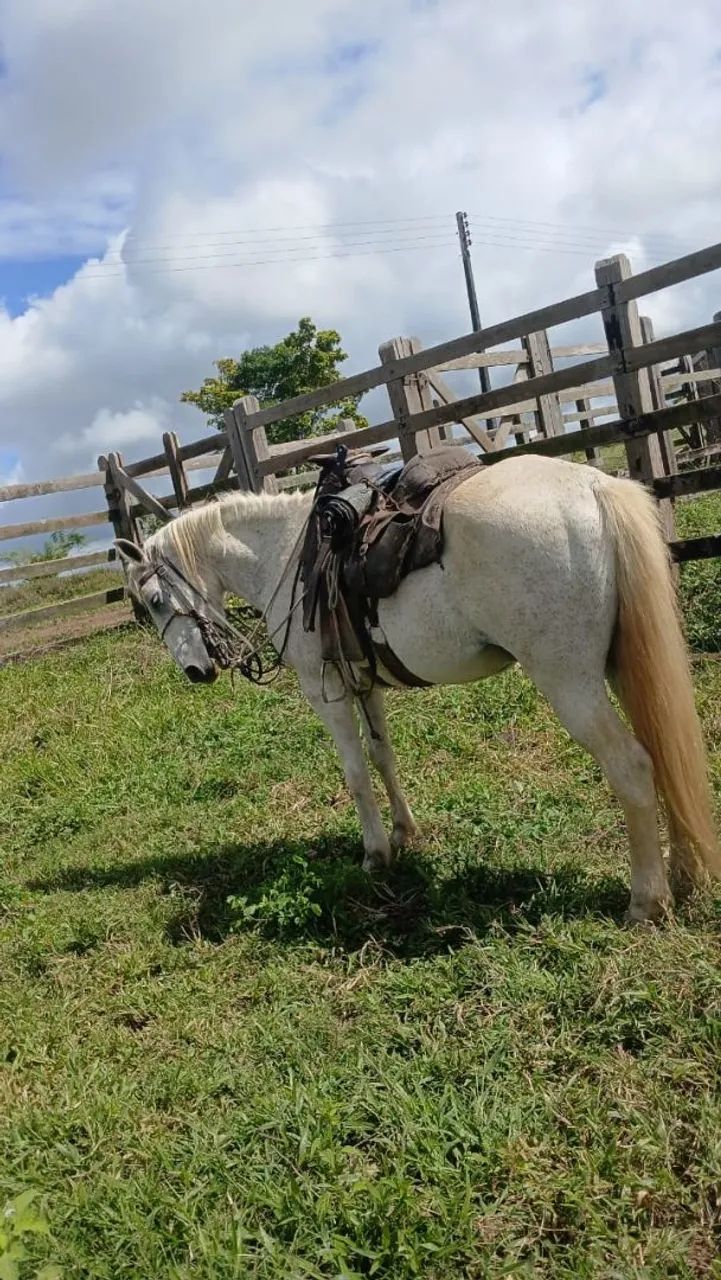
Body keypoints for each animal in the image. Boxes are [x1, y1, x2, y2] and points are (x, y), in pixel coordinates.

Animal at [115, 453, 720, 923]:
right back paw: (684, 875)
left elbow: (356, 774)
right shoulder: (365, 684)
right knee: (662, 750)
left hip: (570, 682)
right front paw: (405, 833)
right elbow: (383, 756)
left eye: (155, 601)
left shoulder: (325, 690)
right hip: (621, 666)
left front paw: (375, 854)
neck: (285, 556)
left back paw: (646, 901)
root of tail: (594, 487)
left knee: (632, 767)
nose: (196, 671)